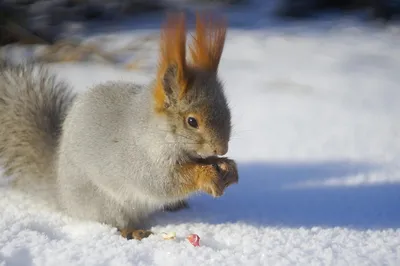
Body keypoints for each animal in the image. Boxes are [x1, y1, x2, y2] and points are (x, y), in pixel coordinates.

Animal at [0, 11, 238, 241]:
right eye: (192, 121)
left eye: (228, 111)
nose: (221, 148)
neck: (155, 131)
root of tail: (62, 195)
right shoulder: (139, 161)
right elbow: (163, 182)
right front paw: (206, 175)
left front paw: (228, 167)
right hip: (104, 203)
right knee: (114, 222)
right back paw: (133, 231)